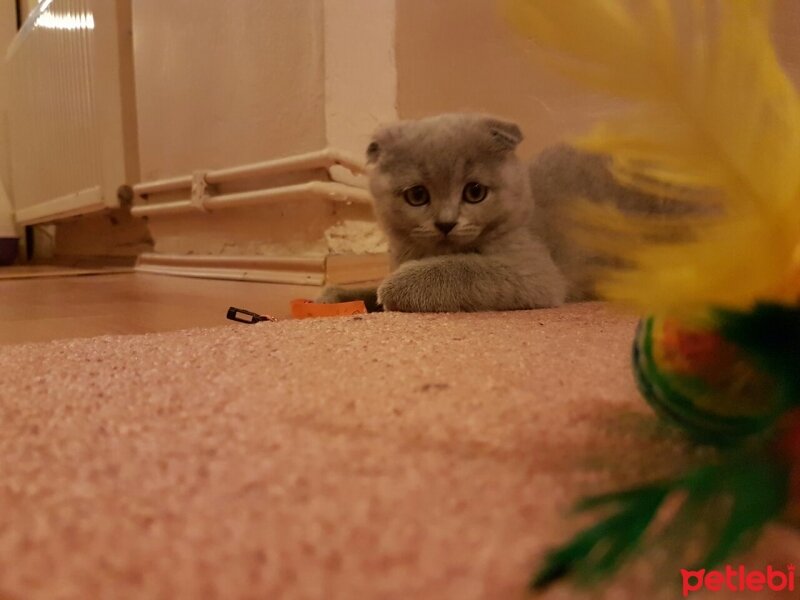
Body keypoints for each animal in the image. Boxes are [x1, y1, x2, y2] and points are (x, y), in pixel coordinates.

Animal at [320, 111, 568, 314]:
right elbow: (369, 289)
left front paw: (397, 286)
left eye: (475, 192)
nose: (446, 223)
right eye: (417, 195)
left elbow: (468, 268)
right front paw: (334, 297)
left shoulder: (535, 272)